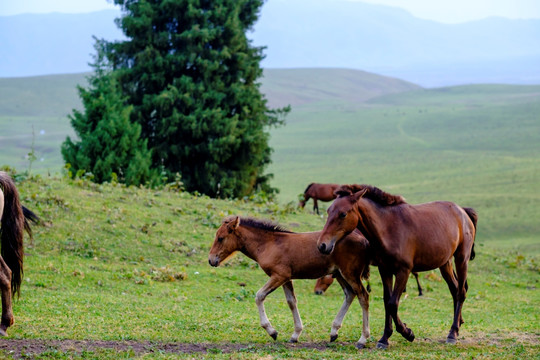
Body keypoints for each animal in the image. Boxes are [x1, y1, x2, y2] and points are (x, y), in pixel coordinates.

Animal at [208, 215, 372, 348]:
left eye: (220, 238)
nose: (211, 260)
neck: (269, 244)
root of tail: (364, 240)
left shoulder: (279, 276)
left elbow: (259, 296)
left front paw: (272, 332)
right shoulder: (286, 278)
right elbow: (291, 302)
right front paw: (295, 335)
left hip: (350, 274)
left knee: (363, 296)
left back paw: (362, 339)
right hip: (339, 274)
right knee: (350, 294)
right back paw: (334, 332)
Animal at [316, 184, 476, 348]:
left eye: (343, 214)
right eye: (328, 211)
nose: (322, 245)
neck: (389, 228)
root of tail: (462, 211)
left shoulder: (403, 271)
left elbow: (393, 303)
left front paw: (407, 333)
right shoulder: (385, 270)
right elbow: (387, 301)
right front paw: (385, 338)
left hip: (461, 259)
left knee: (461, 292)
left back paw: (453, 333)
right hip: (445, 264)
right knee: (455, 289)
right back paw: (459, 323)